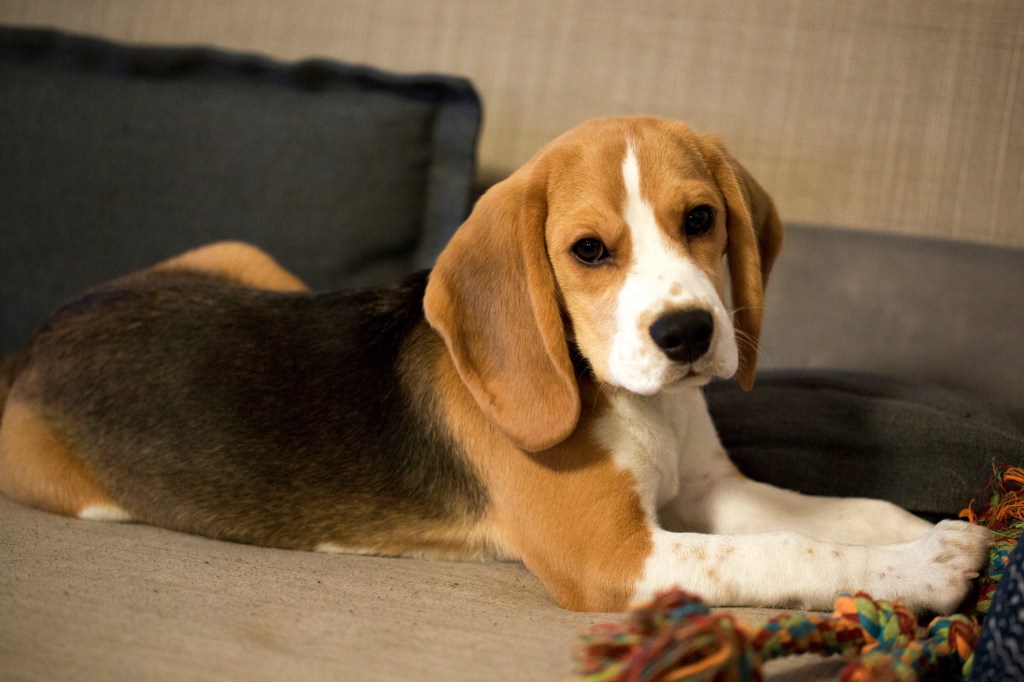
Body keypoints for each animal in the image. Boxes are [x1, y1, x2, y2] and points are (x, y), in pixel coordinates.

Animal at [2, 116, 991, 610]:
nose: (686, 334)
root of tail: (38, 338)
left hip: (244, 256)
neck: (636, 402)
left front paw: (937, 531)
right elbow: (788, 550)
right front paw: (927, 571)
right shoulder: (614, 558)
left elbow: (841, 513)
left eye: (702, 219)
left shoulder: (709, 491)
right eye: (589, 251)